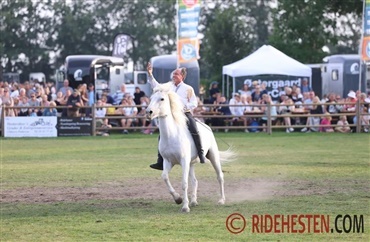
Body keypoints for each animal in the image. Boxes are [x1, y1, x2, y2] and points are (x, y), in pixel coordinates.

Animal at [146, 83, 236, 212]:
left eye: (162, 99)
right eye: (151, 98)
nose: (149, 112)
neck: (172, 135)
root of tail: (207, 127)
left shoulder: (184, 161)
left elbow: (184, 183)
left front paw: (185, 207)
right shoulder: (168, 162)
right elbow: (164, 177)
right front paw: (178, 199)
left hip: (213, 156)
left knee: (220, 177)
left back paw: (221, 200)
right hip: (191, 163)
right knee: (194, 181)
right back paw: (193, 201)